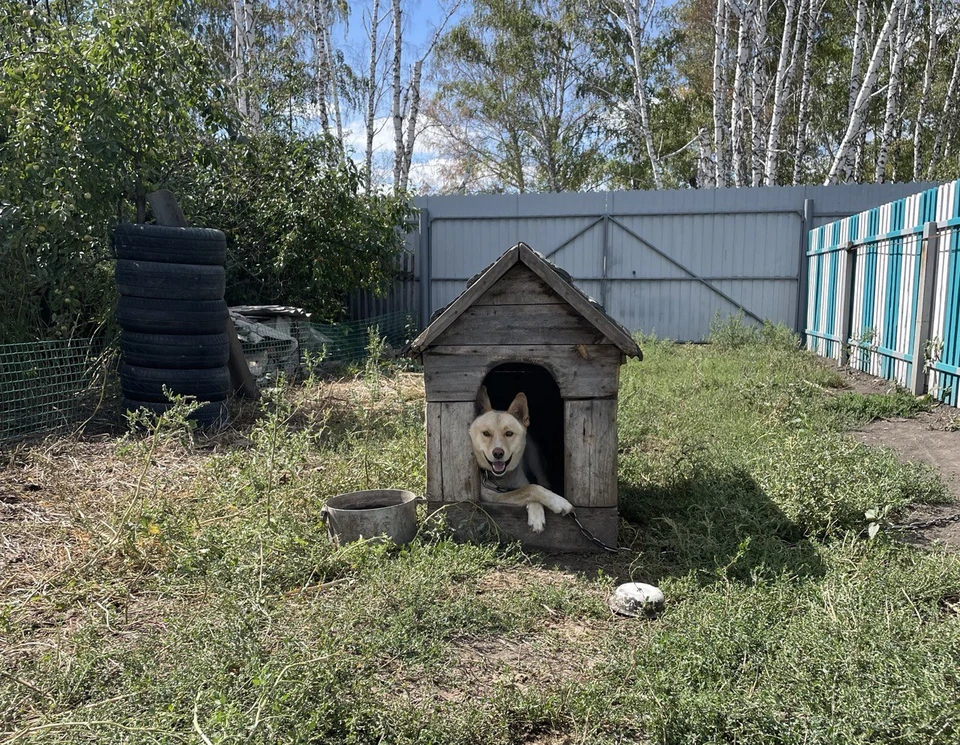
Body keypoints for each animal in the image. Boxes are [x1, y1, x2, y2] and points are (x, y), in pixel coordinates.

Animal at [468, 386, 572, 532]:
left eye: (509, 433)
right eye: (486, 433)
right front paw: (556, 502)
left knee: (541, 479)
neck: (503, 478)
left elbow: (531, 487)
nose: (498, 453)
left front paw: (539, 512)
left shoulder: (521, 483)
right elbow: (530, 489)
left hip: (534, 458)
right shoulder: (492, 497)